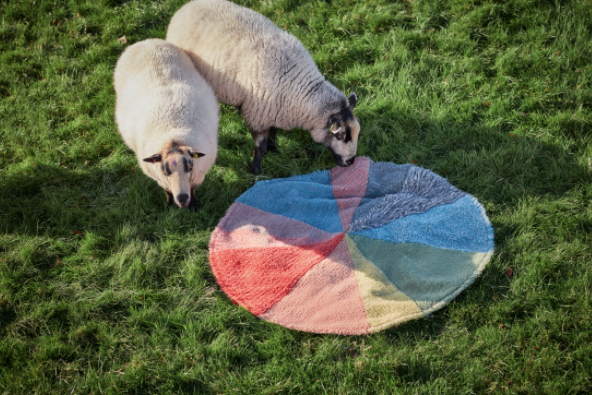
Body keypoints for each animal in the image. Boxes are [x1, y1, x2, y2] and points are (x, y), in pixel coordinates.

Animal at [114, 38, 220, 212]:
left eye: (189, 167)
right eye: (165, 170)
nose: (182, 199)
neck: (173, 137)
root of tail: (147, 41)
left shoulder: (198, 175)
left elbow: (193, 190)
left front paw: (193, 206)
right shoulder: (159, 178)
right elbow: (167, 191)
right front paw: (169, 204)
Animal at [166, 0, 360, 175]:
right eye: (340, 135)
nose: (351, 162)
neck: (299, 88)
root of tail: (185, 7)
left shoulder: (274, 109)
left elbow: (273, 131)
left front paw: (274, 149)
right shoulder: (257, 115)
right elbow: (260, 146)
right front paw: (256, 170)